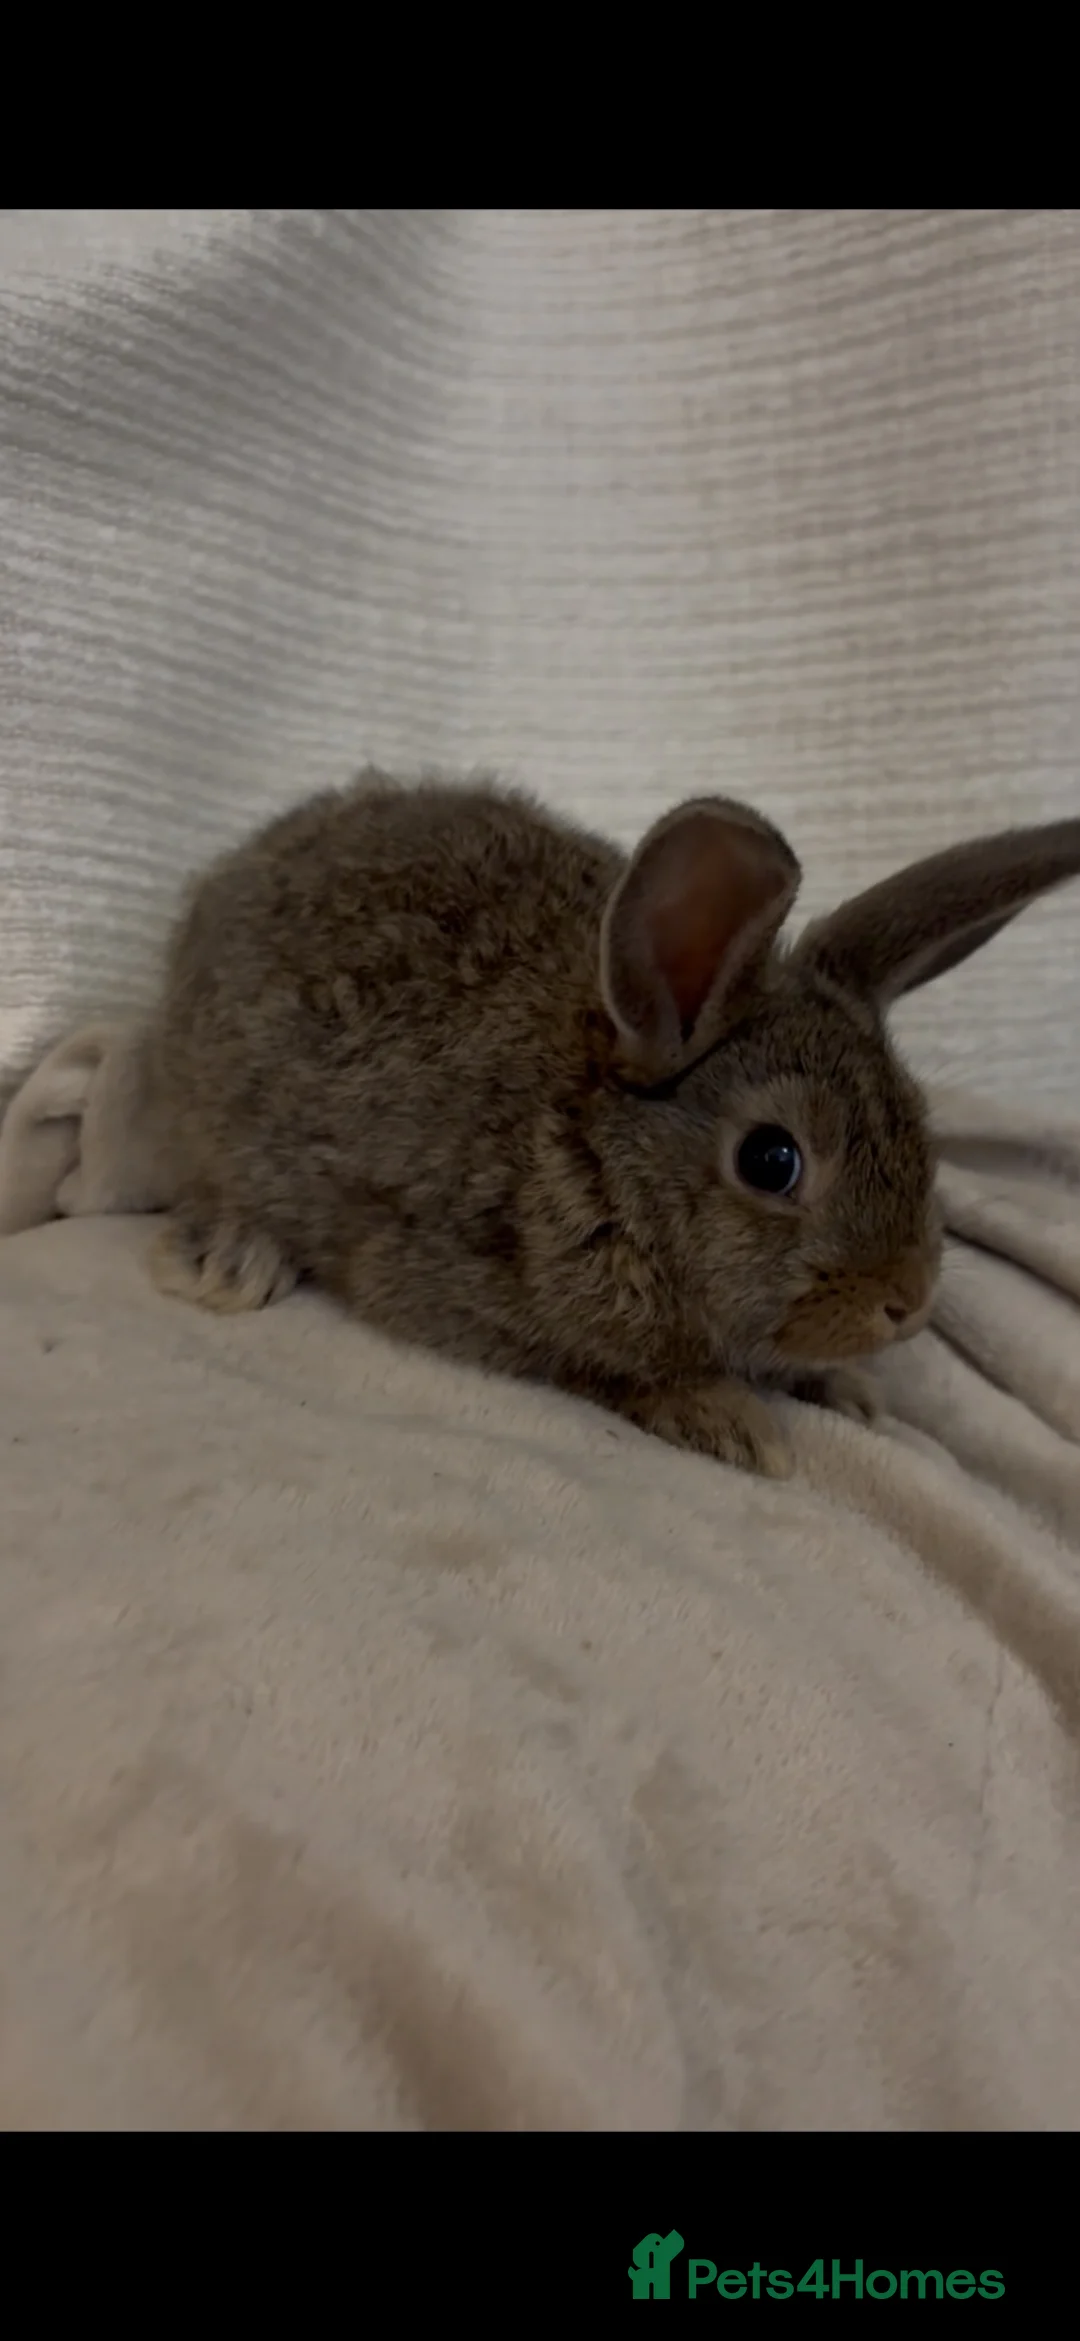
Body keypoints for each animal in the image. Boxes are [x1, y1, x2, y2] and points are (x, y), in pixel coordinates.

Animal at [147, 771, 1080, 1477]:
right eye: (771, 1160)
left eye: (917, 1124)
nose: (908, 1302)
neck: (598, 1158)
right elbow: (611, 1372)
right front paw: (731, 1421)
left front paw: (849, 1392)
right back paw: (236, 1261)